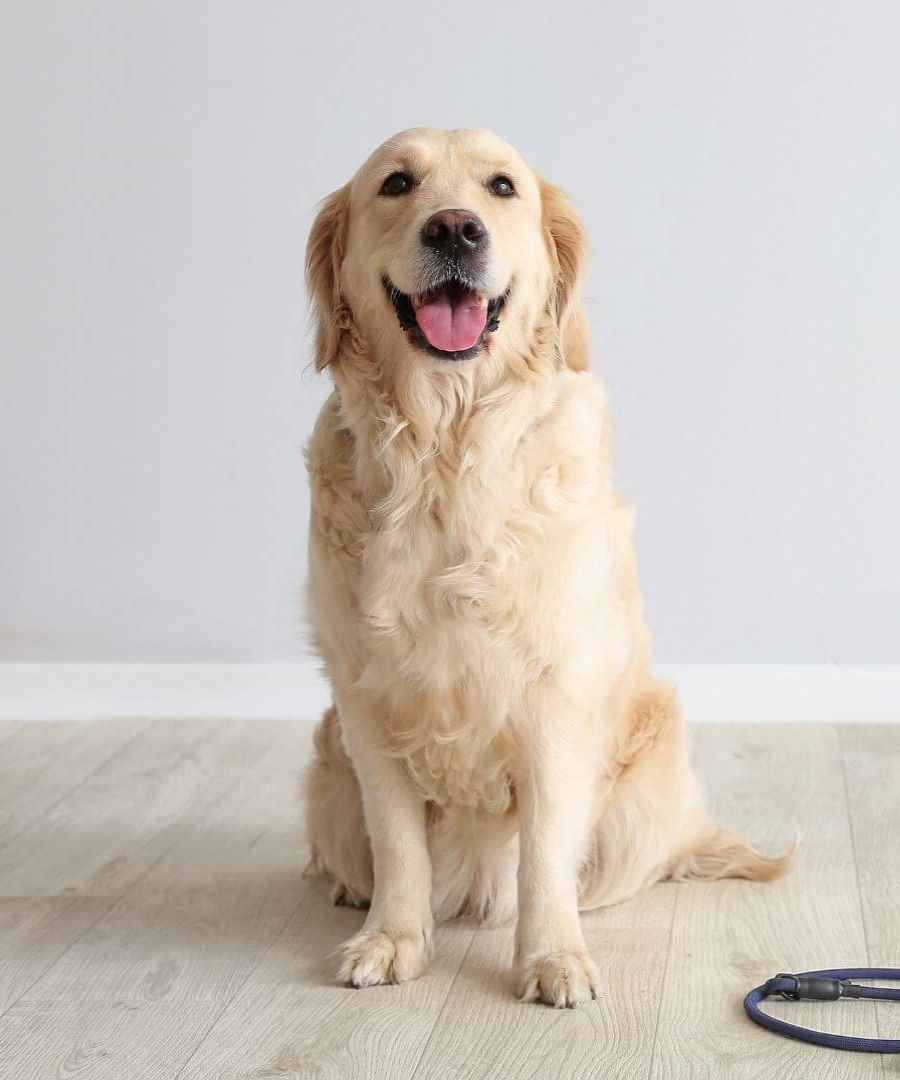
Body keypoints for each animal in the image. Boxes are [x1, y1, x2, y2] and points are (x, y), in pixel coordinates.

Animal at [302, 130, 786, 1006]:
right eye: (396, 184)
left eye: (502, 187)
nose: (455, 229)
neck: (447, 453)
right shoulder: (365, 700)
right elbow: (398, 846)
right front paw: (392, 940)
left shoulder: (557, 698)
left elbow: (544, 854)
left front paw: (552, 956)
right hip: (328, 778)